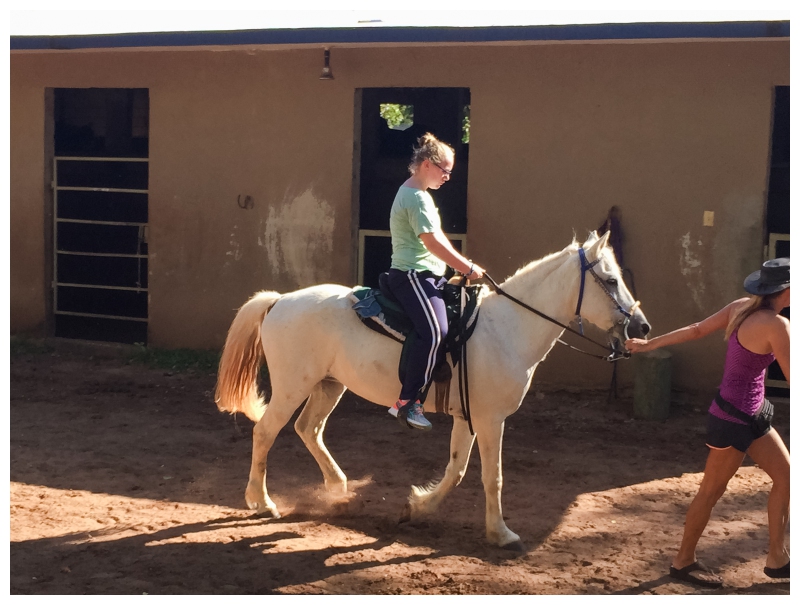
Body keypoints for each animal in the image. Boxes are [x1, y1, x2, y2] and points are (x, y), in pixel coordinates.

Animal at [214, 229, 648, 548]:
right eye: (611, 280)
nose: (642, 326)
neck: (506, 329)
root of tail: (279, 301)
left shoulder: (469, 418)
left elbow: (456, 470)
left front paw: (417, 508)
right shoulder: (490, 420)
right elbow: (492, 477)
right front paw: (502, 534)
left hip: (329, 385)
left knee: (309, 429)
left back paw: (337, 488)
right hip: (293, 386)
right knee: (265, 433)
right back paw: (262, 502)